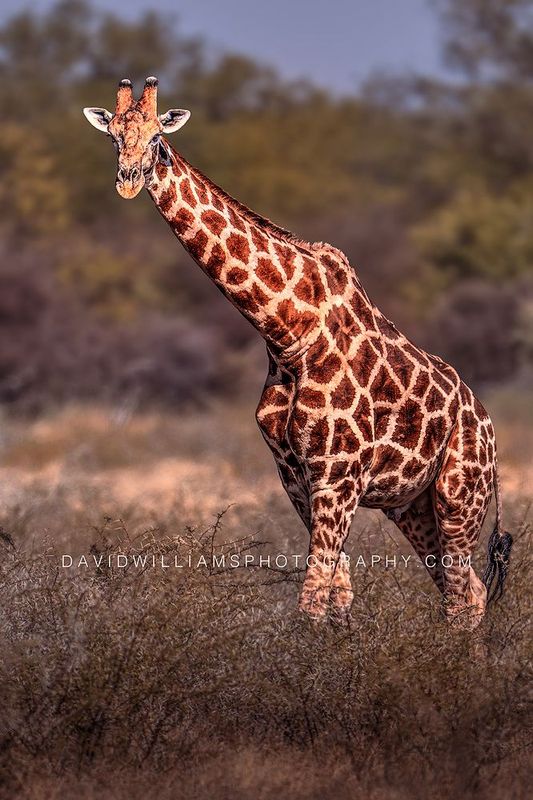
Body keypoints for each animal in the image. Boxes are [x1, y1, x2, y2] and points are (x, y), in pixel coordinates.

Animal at [84, 77, 513, 629]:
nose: (128, 181)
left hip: (459, 494)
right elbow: (336, 596)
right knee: (470, 591)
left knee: (463, 597)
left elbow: (311, 598)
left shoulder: (338, 476)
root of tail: (491, 433)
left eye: (158, 136)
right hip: (412, 506)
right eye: (113, 136)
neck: (286, 333)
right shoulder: (296, 477)